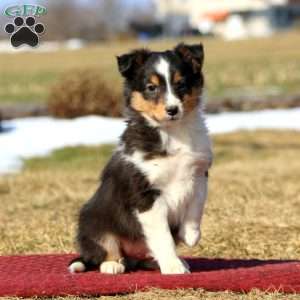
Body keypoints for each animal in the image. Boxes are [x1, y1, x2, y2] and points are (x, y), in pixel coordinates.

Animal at [69, 43, 212, 276]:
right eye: (151, 87)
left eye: (181, 84)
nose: (172, 110)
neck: (173, 132)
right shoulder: (146, 195)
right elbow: (163, 236)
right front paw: (172, 267)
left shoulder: (199, 173)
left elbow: (196, 207)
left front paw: (190, 235)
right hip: (93, 220)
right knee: (104, 249)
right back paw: (112, 264)